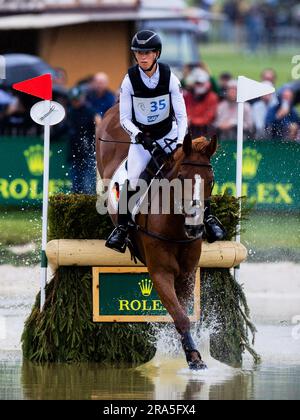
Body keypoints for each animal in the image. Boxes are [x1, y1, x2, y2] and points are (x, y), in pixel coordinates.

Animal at [97, 105, 217, 370]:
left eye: (211, 182)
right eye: (181, 177)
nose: (194, 228)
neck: (176, 227)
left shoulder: (186, 274)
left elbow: (180, 311)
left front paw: (186, 350)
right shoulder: (161, 272)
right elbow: (179, 316)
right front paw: (192, 357)